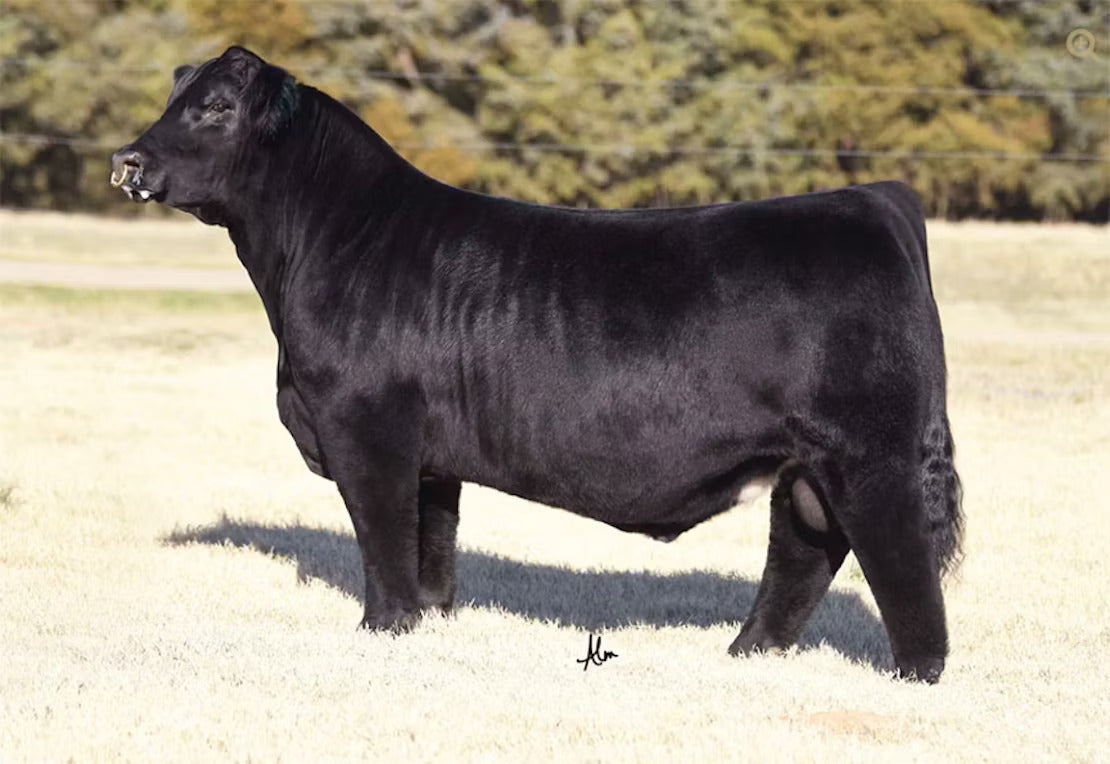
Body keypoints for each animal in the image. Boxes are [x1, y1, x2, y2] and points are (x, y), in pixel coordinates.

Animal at [111, 46, 962, 682]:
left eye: (218, 108)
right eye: (175, 95)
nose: (129, 160)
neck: (326, 244)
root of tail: (872, 199)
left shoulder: (367, 429)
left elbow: (382, 539)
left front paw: (383, 628)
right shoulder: (431, 457)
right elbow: (432, 545)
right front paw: (429, 620)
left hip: (872, 455)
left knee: (903, 568)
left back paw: (912, 676)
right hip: (808, 466)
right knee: (804, 552)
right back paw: (746, 654)